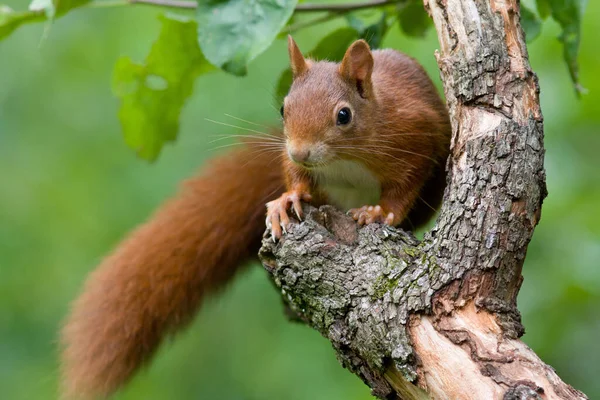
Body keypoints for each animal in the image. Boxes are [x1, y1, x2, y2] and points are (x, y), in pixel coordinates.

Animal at [59, 36, 450, 398]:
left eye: (344, 115)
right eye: (283, 108)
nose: (300, 150)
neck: (345, 159)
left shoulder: (415, 135)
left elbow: (404, 186)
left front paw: (379, 212)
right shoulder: (298, 162)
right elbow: (296, 177)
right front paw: (286, 200)